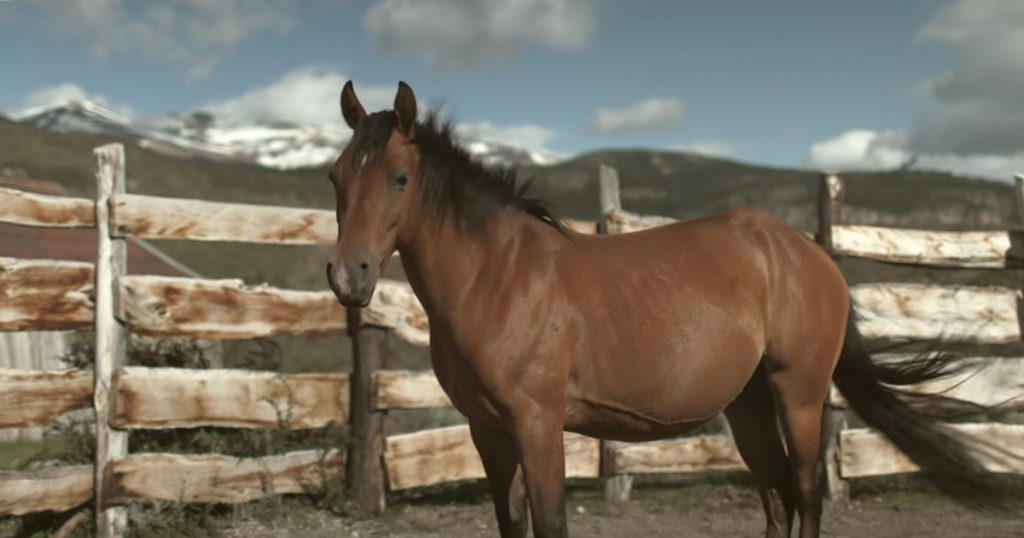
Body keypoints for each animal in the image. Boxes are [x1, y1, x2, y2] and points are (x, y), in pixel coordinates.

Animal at [321, 80, 1007, 536]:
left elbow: (550, 522)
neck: (498, 276)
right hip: (749, 405)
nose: (348, 277)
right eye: (336, 177)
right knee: (778, 496)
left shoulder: (538, 425)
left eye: (400, 177)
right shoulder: (487, 431)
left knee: (808, 494)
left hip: (800, 393)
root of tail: (811, 254)